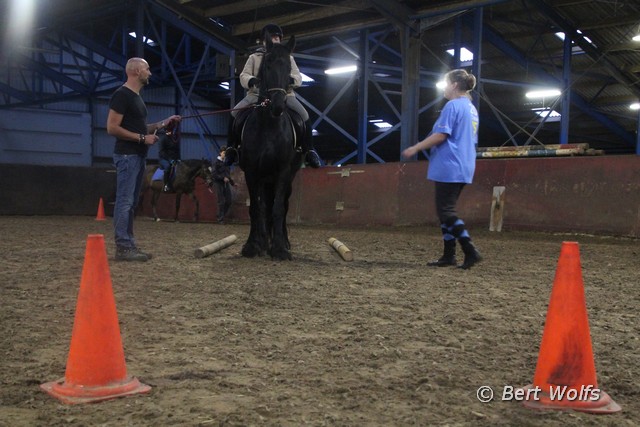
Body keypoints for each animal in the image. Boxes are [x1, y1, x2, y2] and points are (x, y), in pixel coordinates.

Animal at [237, 35, 303, 260]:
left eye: (288, 68)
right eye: (267, 65)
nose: (277, 106)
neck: (269, 125)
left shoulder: (283, 171)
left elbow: (278, 209)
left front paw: (280, 248)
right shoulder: (251, 171)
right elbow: (256, 209)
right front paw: (252, 245)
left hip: (288, 177)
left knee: (283, 205)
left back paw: (282, 242)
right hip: (265, 178)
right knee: (264, 205)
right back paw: (264, 241)